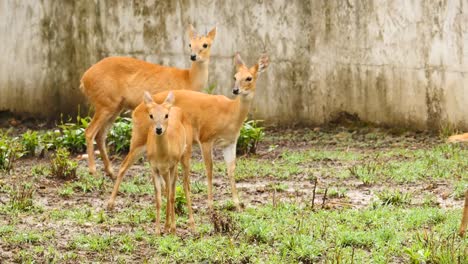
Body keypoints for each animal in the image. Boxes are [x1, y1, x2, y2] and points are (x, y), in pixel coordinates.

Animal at [79, 24, 216, 178]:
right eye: (190, 44)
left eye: (205, 44)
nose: (193, 56)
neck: (188, 79)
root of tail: (84, 79)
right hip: (105, 103)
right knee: (90, 131)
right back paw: (93, 170)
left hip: (114, 106)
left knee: (101, 135)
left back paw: (110, 171)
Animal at [107, 52, 268, 211]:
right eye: (235, 77)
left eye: (249, 78)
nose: (235, 90)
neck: (230, 113)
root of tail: (135, 111)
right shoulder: (205, 137)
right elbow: (209, 170)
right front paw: (210, 205)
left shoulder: (229, 142)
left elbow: (231, 170)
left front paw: (238, 204)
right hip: (139, 137)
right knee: (123, 165)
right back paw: (110, 203)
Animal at [144, 91, 193, 235]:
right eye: (151, 115)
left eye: (166, 115)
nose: (159, 129)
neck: (162, 155)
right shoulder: (154, 168)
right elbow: (159, 199)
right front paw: (157, 231)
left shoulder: (173, 165)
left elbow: (172, 196)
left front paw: (174, 229)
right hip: (165, 172)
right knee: (167, 189)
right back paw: (166, 226)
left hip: (185, 156)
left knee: (185, 186)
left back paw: (192, 225)